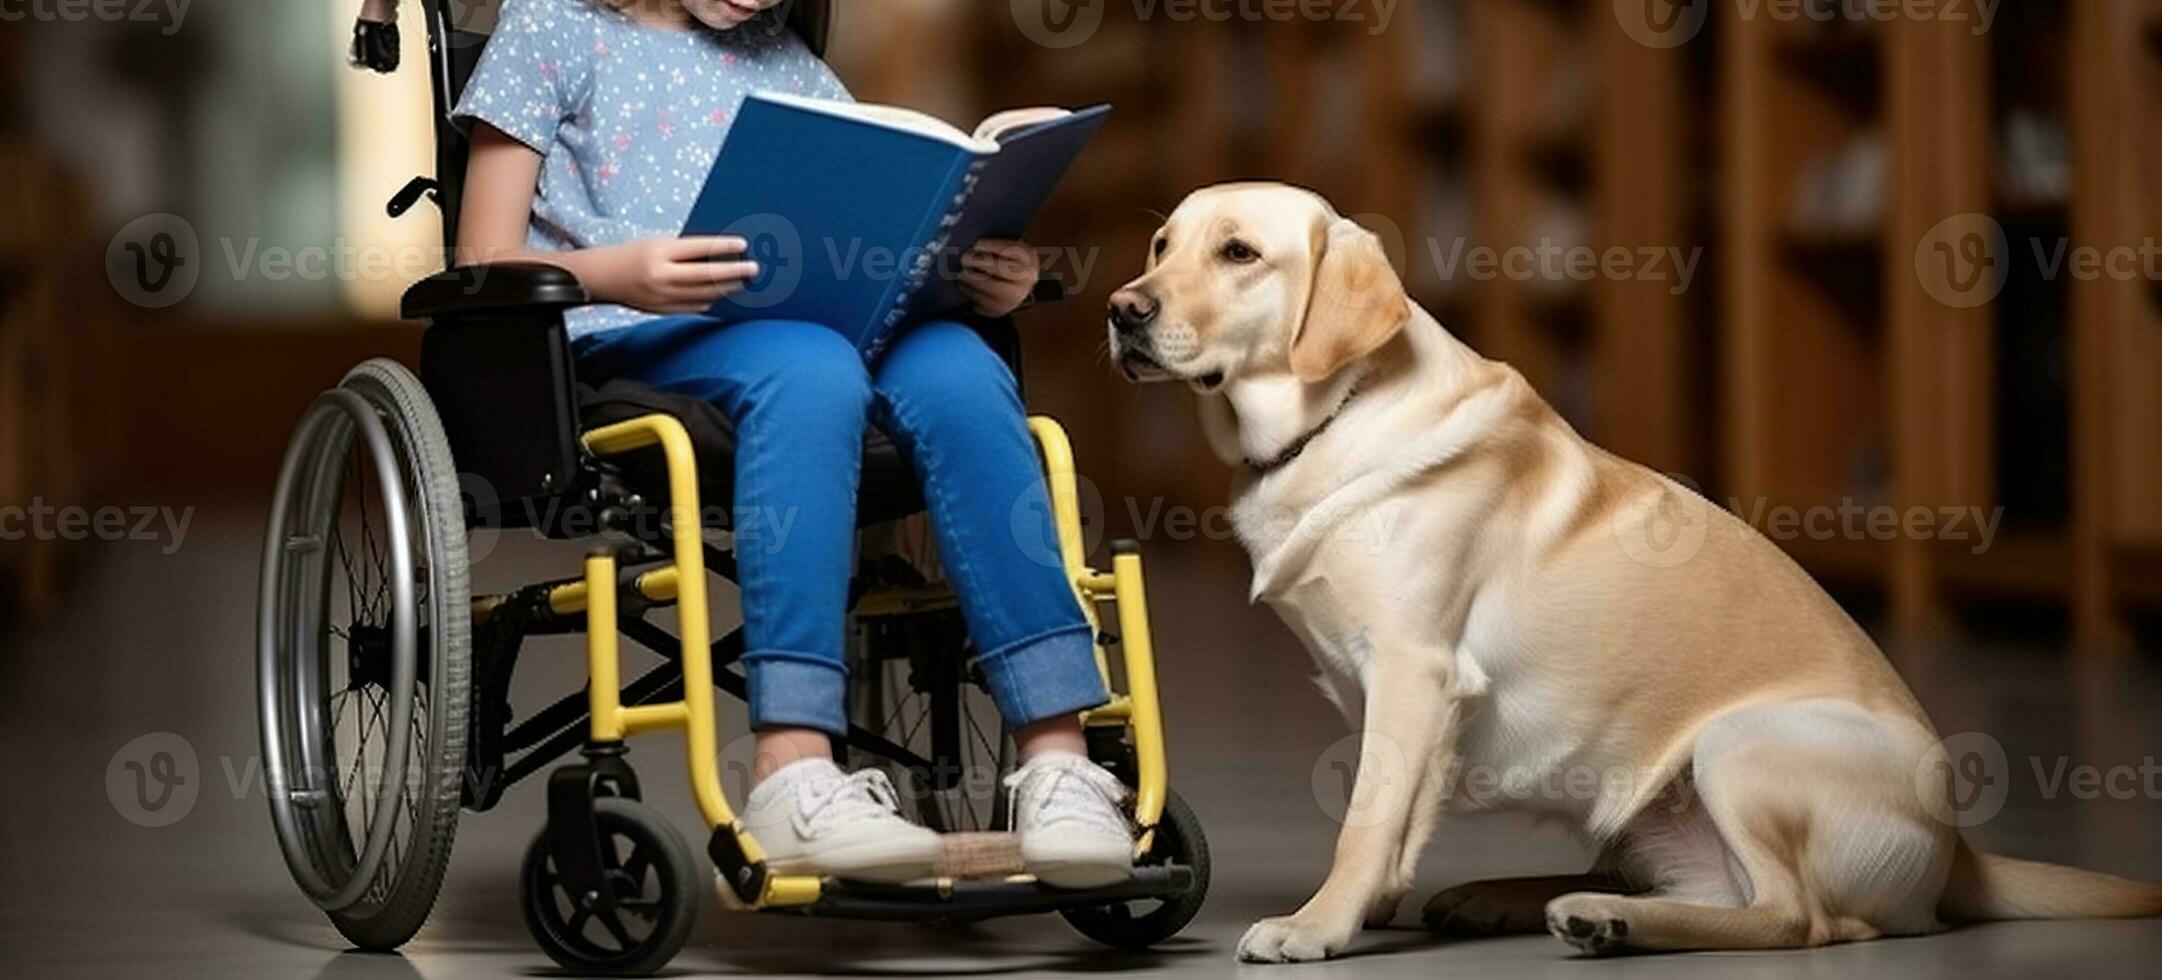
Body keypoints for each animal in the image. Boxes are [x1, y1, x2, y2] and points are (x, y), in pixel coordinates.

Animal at [1106, 179, 2153, 960]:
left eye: (1239, 254)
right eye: (1161, 244)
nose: (1122, 309)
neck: (1336, 415)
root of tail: (1959, 852)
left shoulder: (1413, 667)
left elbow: (1365, 819)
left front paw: (1318, 923)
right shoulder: (1391, 699)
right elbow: (1395, 812)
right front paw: (1373, 904)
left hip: (1740, 744)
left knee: (1799, 919)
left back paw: (1603, 920)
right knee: (1695, 887)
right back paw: (1544, 901)